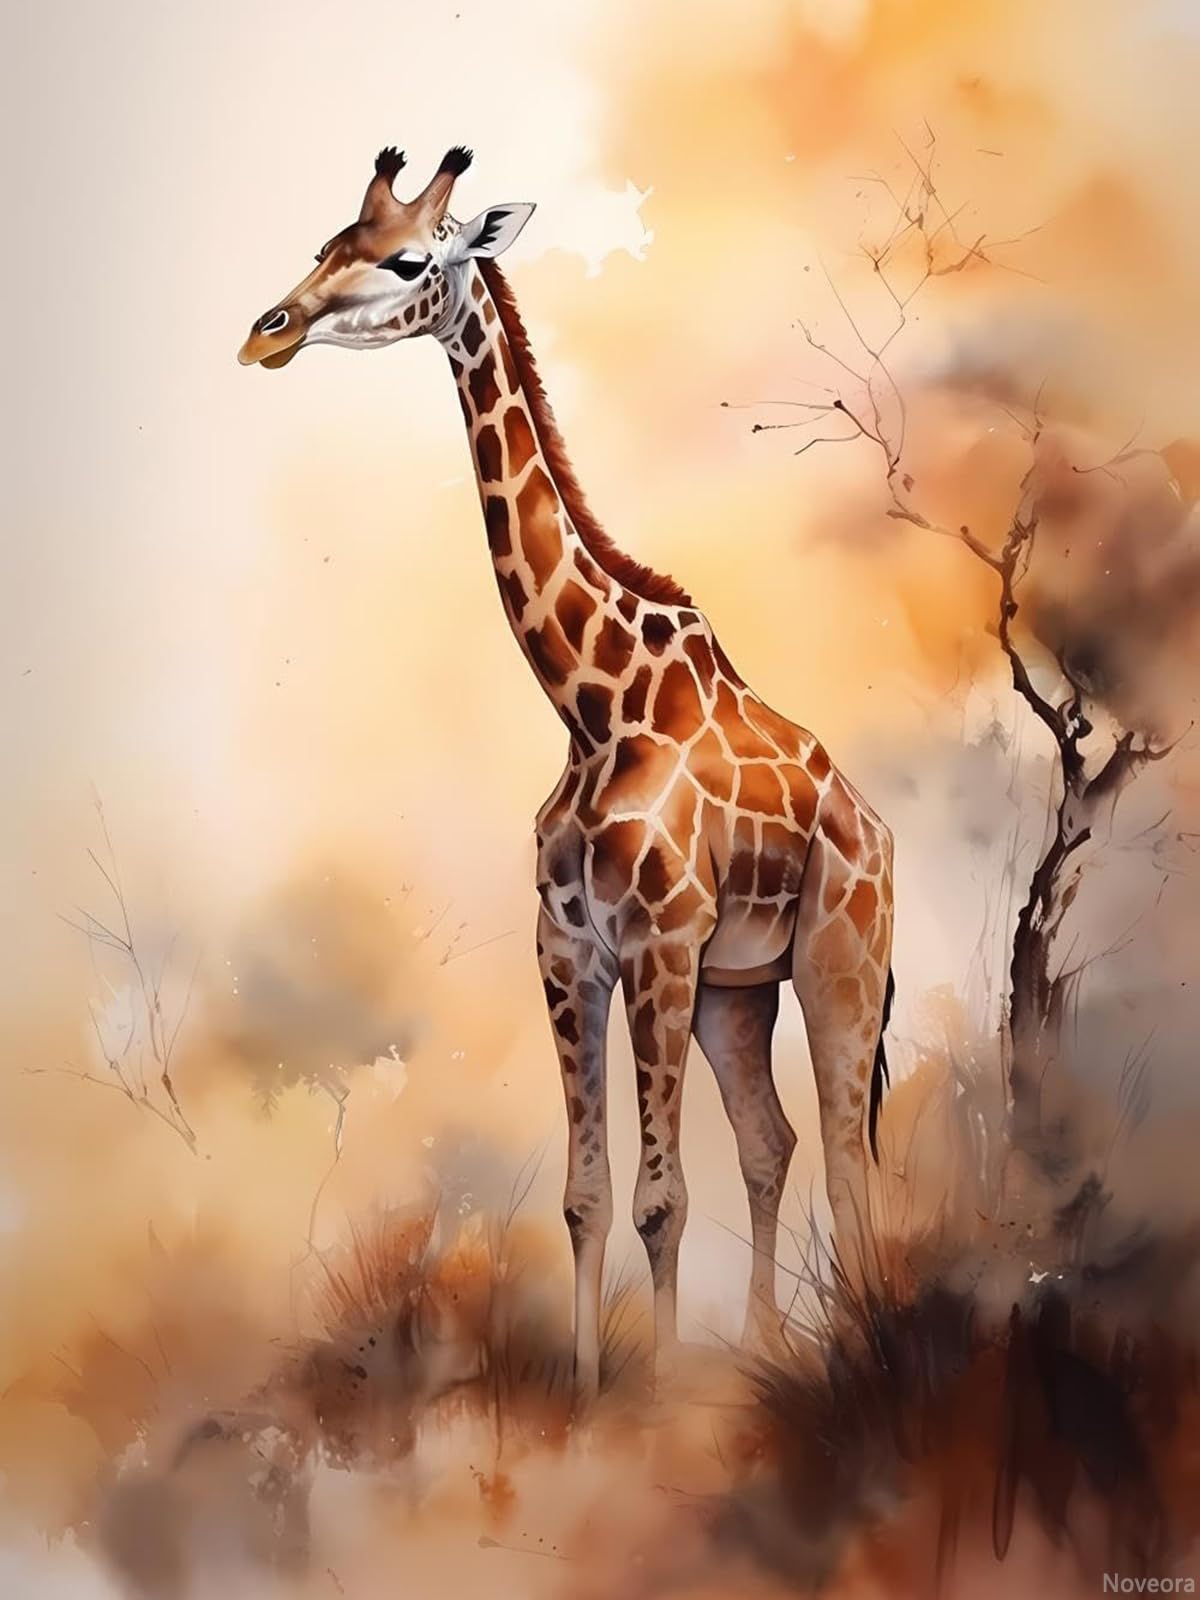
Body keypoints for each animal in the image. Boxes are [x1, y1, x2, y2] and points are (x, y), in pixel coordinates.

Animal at [239, 147, 895, 1397]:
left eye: (408, 257)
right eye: (327, 241)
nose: (268, 331)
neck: (592, 705)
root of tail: (877, 827)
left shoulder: (659, 946)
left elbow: (659, 1198)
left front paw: (660, 1400)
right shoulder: (571, 950)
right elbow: (588, 1196)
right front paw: (594, 1395)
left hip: (840, 962)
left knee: (846, 1153)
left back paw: (853, 1346)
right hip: (739, 992)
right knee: (775, 1142)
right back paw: (768, 1347)